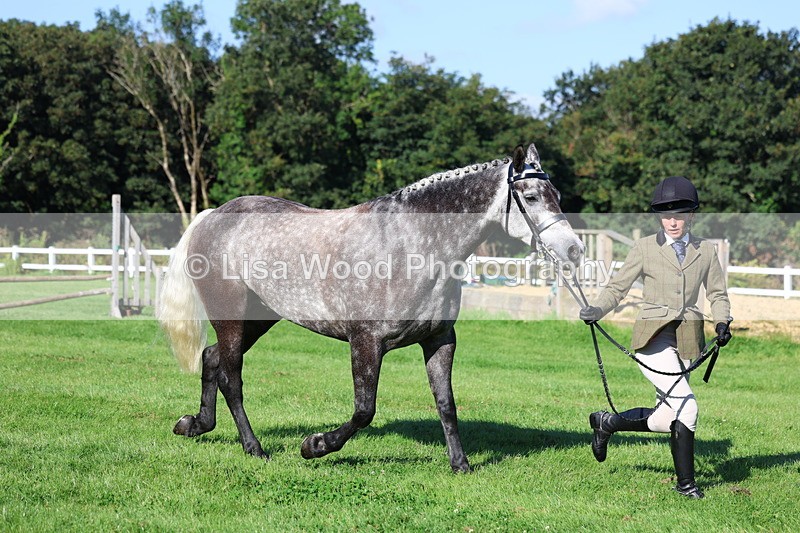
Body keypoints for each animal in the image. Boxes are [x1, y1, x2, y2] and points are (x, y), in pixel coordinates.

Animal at [157, 143, 584, 473]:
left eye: (558, 196)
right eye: (531, 197)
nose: (573, 250)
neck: (414, 246)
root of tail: (213, 216)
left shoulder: (440, 340)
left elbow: (446, 403)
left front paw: (460, 464)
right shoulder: (365, 341)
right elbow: (365, 409)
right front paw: (315, 445)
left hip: (259, 318)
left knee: (212, 358)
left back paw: (194, 424)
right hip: (230, 316)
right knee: (231, 376)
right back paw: (254, 448)